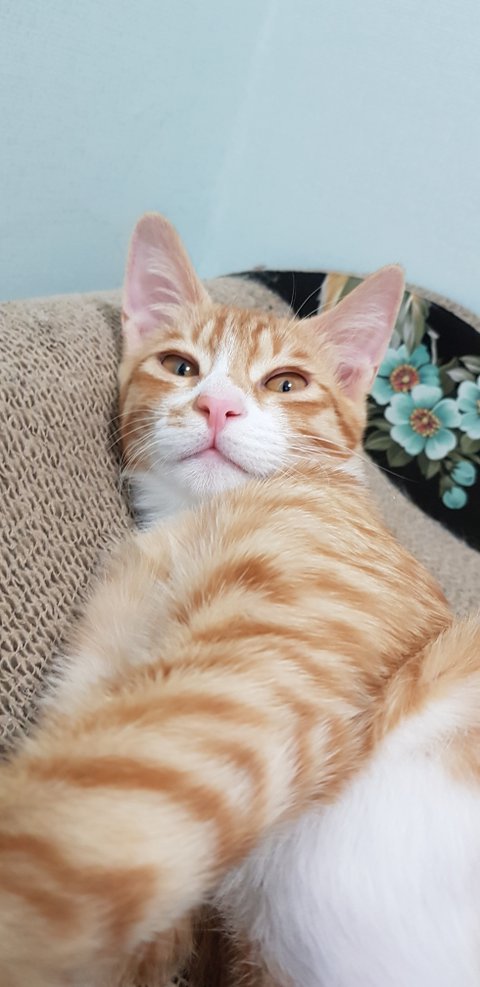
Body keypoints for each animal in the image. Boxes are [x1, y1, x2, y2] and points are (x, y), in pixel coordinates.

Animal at [0, 213, 475, 987]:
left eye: (287, 382)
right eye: (180, 366)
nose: (216, 405)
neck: (194, 520)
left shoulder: (247, 687)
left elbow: (65, 840)